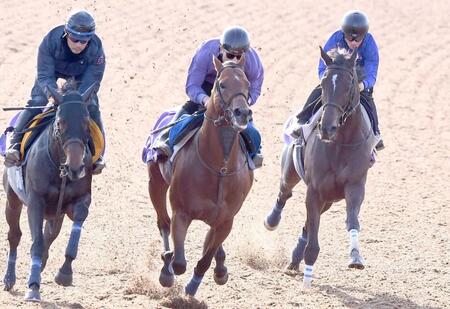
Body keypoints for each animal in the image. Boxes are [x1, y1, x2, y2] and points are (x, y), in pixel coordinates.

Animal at [2, 82, 97, 300]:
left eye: (86, 122)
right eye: (60, 123)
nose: (76, 168)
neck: (60, 170)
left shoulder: (80, 199)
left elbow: (76, 223)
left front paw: (64, 273)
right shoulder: (35, 202)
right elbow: (36, 243)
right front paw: (33, 287)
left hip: (56, 213)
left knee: (50, 234)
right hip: (12, 199)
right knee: (15, 235)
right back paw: (9, 278)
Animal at [148, 56, 253, 296]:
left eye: (247, 85)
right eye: (221, 84)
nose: (242, 113)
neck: (219, 168)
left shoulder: (226, 220)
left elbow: (206, 258)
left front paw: (197, 285)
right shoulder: (181, 212)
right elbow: (179, 262)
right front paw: (169, 267)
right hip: (155, 182)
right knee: (163, 222)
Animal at [264, 47, 376, 288]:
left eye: (349, 84)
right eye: (324, 83)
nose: (327, 128)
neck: (341, 142)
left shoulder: (354, 187)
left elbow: (352, 221)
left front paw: (355, 257)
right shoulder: (314, 190)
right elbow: (313, 239)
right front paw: (307, 279)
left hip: (330, 199)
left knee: (307, 225)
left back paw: (294, 260)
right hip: (291, 172)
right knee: (284, 193)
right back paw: (271, 221)